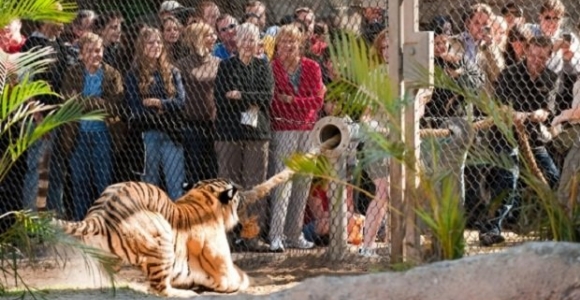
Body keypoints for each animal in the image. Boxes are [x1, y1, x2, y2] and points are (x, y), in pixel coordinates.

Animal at [51, 178, 255, 298]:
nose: (243, 190)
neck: (203, 196)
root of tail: (100, 214)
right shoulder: (225, 272)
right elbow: (240, 277)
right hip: (163, 238)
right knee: (159, 288)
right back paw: (187, 293)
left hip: (106, 257)